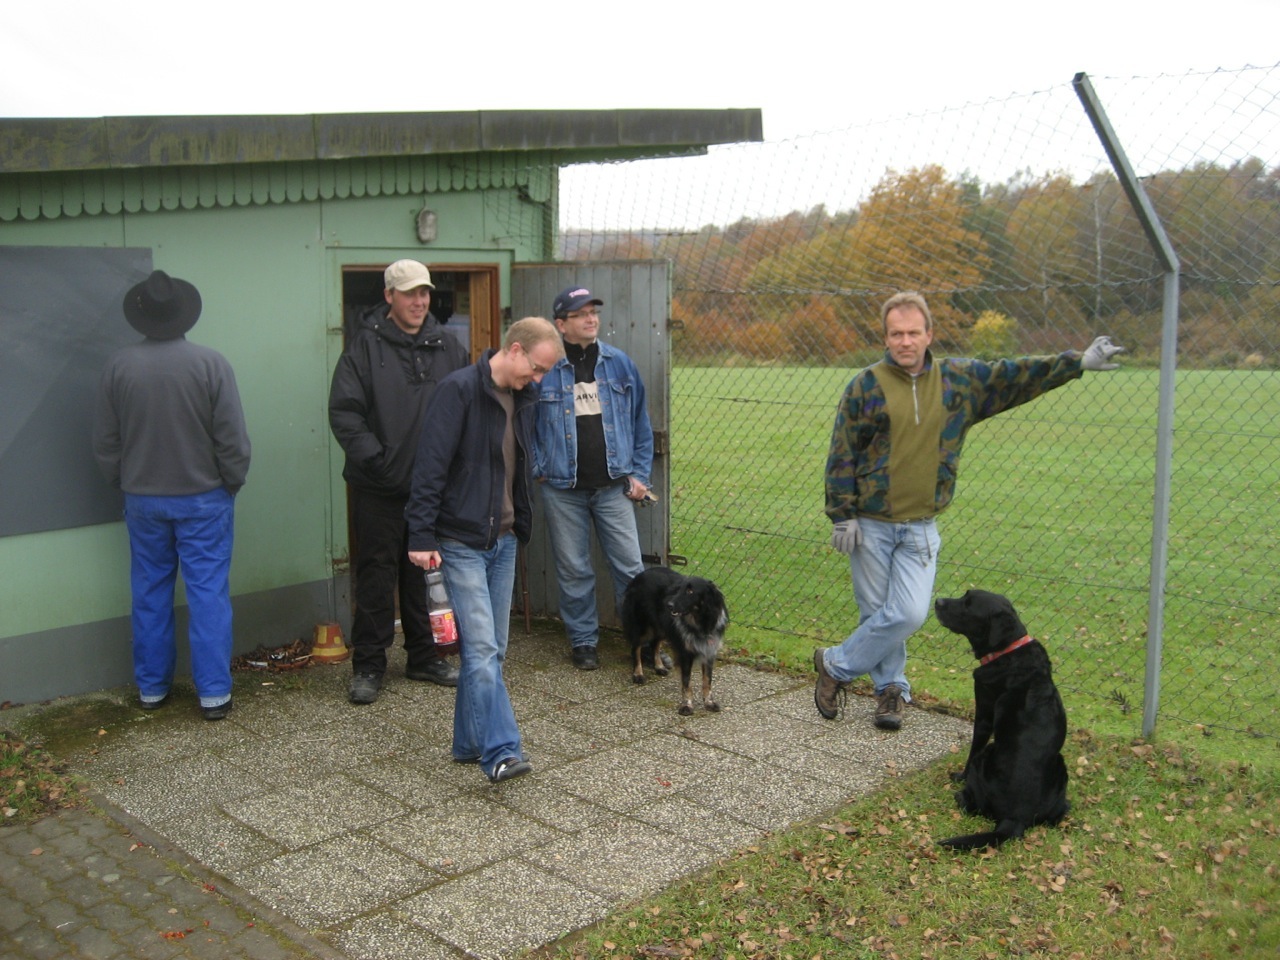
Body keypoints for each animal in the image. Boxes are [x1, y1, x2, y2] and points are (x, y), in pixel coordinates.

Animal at [621, 567, 728, 716]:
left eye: (690, 591)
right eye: (679, 590)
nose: (669, 605)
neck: (700, 622)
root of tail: (639, 575)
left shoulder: (709, 652)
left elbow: (707, 681)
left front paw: (709, 703)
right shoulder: (685, 654)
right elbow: (687, 682)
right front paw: (687, 706)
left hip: (660, 626)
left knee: (655, 644)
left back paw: (659, 667)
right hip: (642, 625)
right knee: (635, 647)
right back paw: (638, 674)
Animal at [932, 589, 1070, 850]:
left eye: (968, 604)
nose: (937, 601)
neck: (1008, 650)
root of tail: (1015, 818)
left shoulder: (983, 714)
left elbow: (972, 750)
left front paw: (959, 777)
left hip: (988, 754)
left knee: (972, 804)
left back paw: (960, 795)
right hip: (1061, 768)